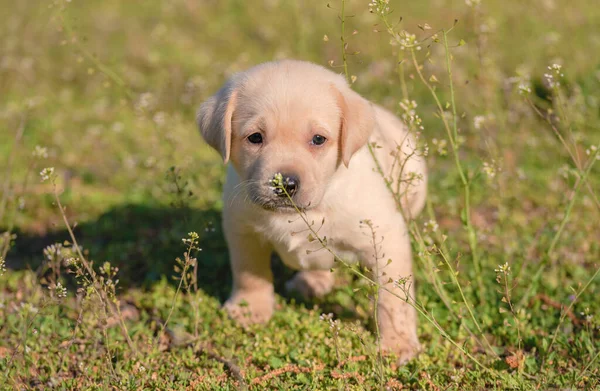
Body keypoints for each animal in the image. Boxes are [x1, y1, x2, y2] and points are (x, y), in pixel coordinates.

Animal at [197, 59, 426, 362]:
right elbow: (249, 271)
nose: (285, 184)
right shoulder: (242, 229)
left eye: (318, 139)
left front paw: (398, 343)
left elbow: (393, 298)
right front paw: (249, 308)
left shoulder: (386, 237)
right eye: (255, 137)